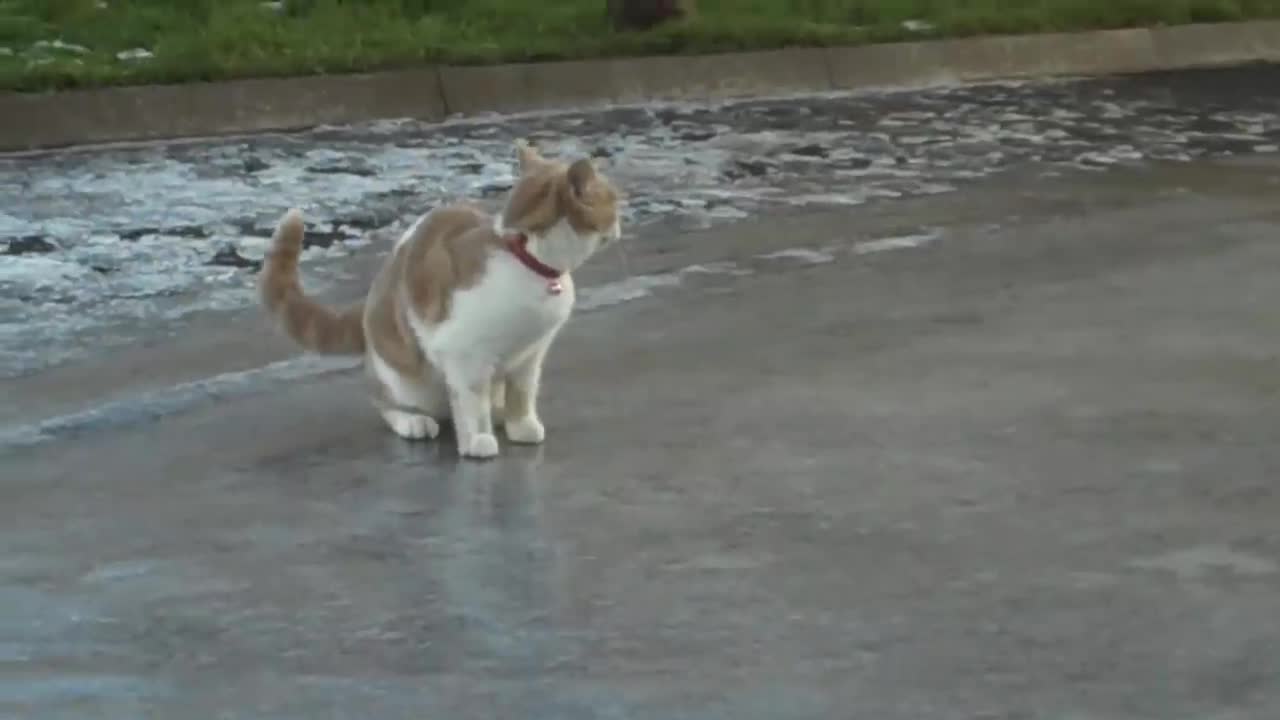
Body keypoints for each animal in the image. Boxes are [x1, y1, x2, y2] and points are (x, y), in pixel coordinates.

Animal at [258, 140, 619, 456]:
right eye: (614, 201)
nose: (621, 219)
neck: (525, 256)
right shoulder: (463, 354)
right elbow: (471, 402)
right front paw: (478, 441)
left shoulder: (529, 356)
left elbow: (523, 393)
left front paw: (521, 425)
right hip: (405, 378)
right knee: (384, 401)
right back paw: (413, 421)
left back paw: (498, 410)